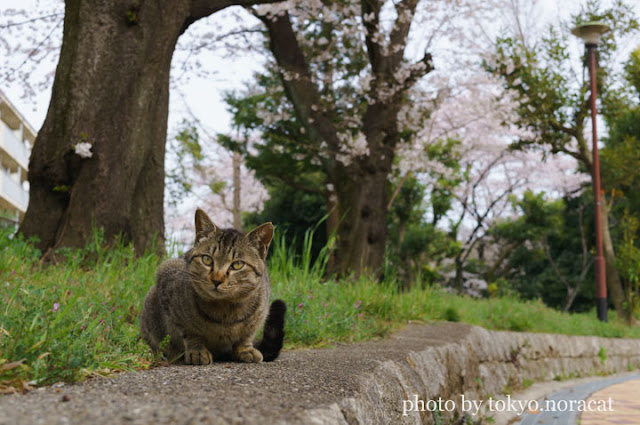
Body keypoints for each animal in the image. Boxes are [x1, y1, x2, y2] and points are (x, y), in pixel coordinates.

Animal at [142, 207, 288, 362]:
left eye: (237, 264)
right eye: (207, 259)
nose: (217, 280)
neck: (226, 312)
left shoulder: (259, 314)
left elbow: (246, 335)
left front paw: (245, 349)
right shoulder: (168, 281)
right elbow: (191, 332)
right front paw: (197, 351)